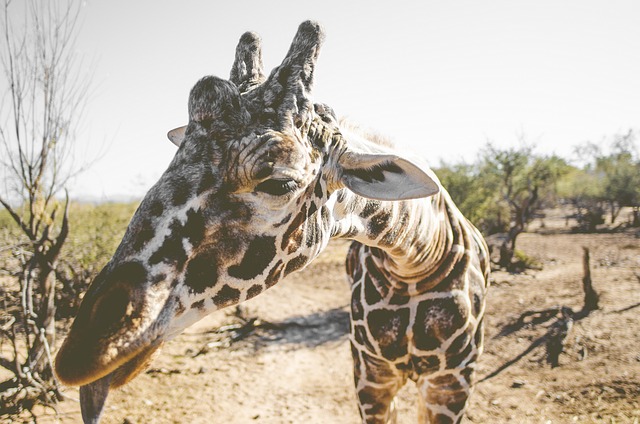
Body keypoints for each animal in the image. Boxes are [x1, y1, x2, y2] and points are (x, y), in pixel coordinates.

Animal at [56, 20, 490, 424]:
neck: (416, 261)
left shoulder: (451, 384)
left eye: (279, 181)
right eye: (177, 157)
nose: (84, 352)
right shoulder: (370, 374)